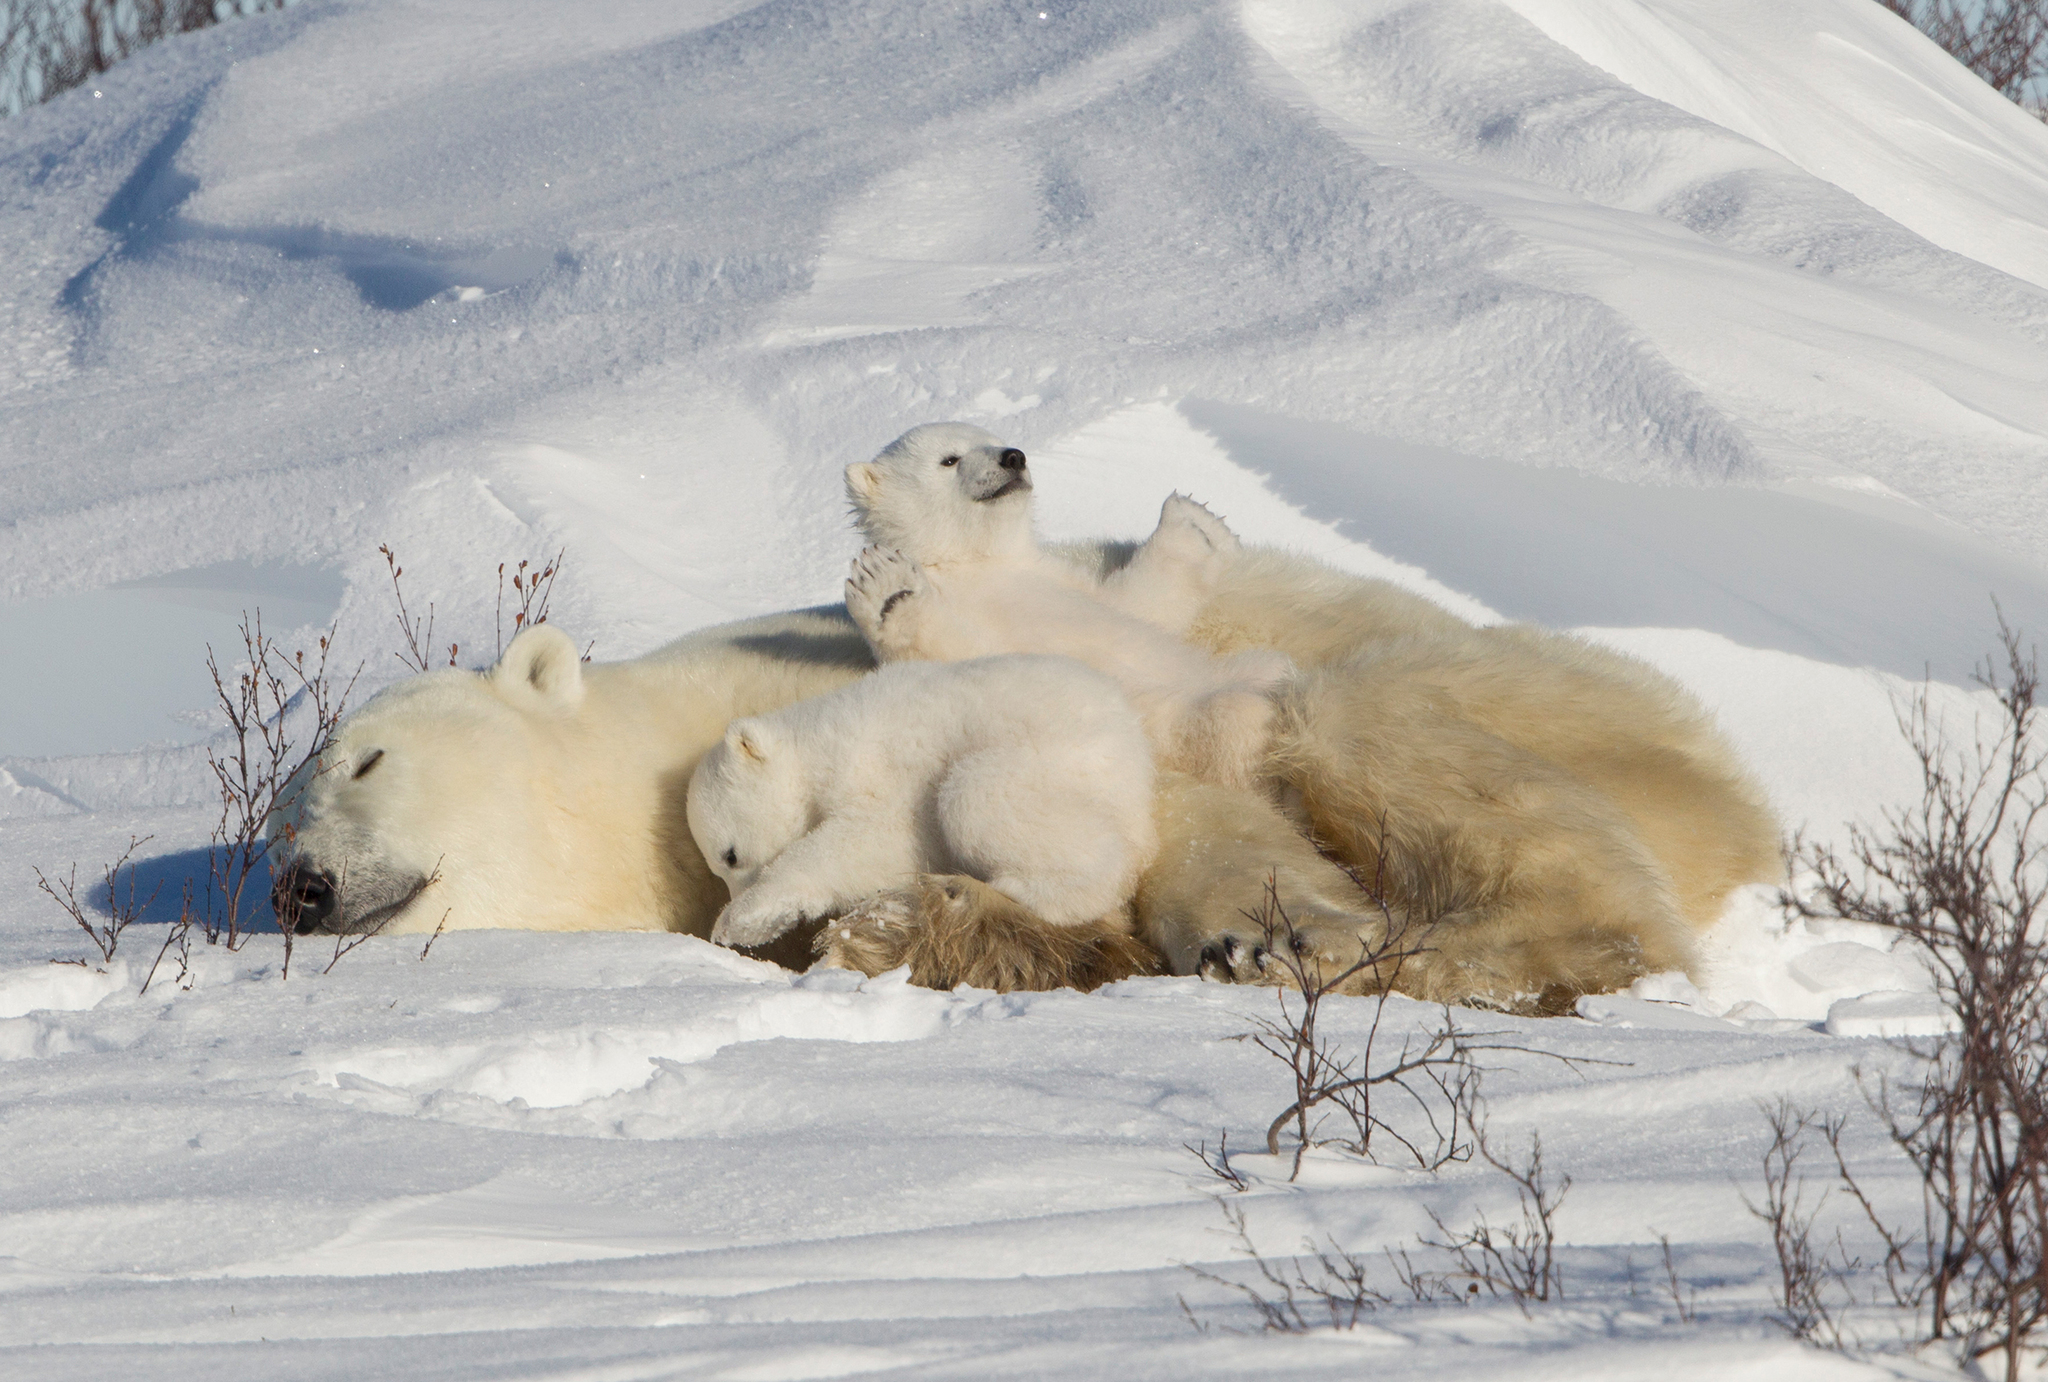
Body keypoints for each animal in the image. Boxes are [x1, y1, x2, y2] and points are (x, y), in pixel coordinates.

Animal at [692, 655, 1155, 949]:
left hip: (1058, 766)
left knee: (977, 795)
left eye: (730, 856)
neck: (817, 742)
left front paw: (747, 917)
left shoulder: (875, 765)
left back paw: (1022, 888)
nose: (730, 901)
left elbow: (880, 839)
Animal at [839, 421, 1286, 790]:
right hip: (1161, 716)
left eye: (993, 438)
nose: (1013, 457)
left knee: (1267, 667)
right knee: (1228, 719)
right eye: (949, 459)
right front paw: (888, 588)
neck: (976, 561)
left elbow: (1138, 604)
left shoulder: (1058, 579)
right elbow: (962, 657)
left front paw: (1197, 521)